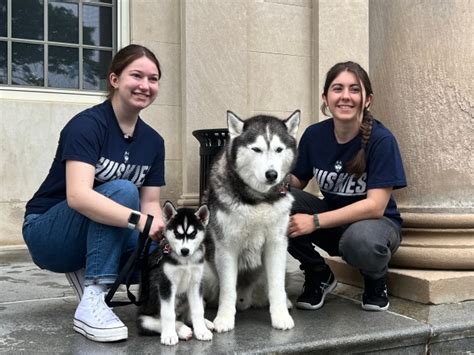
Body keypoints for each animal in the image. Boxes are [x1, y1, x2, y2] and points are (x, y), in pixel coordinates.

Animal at [136, 202, 212, 346]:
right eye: (177, 233)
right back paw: (182, 330)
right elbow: (168, 314)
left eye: (193, 233)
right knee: (154, 322)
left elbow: (198, 310)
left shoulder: (196, 284)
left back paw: (205, 324)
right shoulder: (166, 284)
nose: (184, 251)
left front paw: (201, 331)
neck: (185, 261)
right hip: (144, 318)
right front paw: (169, 335)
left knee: (188, 316)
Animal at [204, 110, 300, 332]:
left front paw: (280, 316)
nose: (272, 174)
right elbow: (228, 289)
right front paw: (224, 319)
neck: (259, 199)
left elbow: (276, 286)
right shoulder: (226, 247)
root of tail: (246, 300)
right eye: (256, 149)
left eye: (279, 149)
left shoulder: (276, 245)